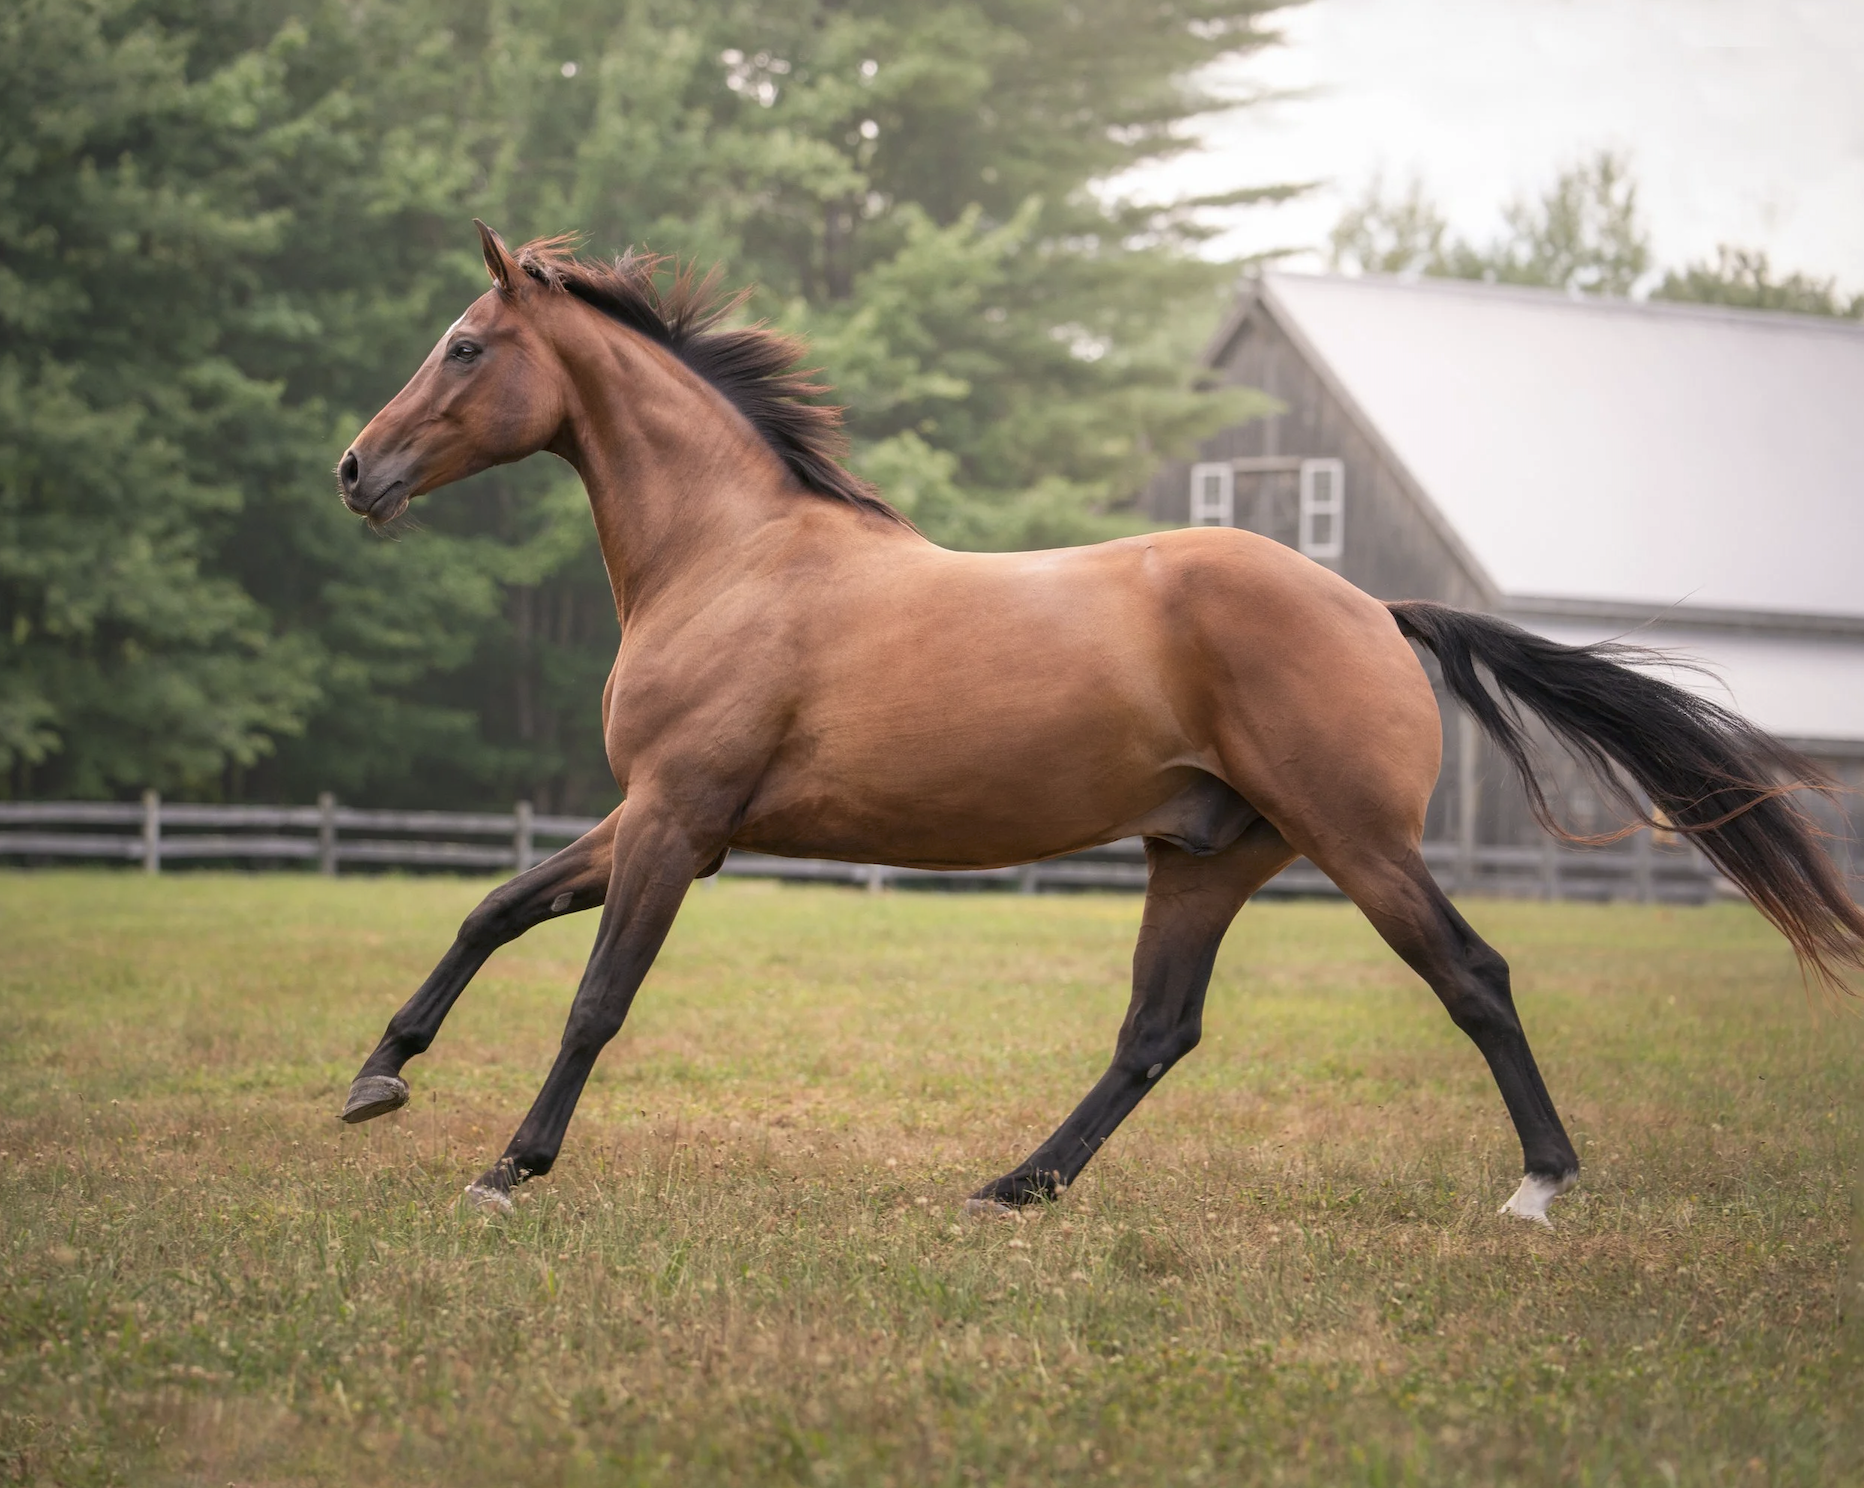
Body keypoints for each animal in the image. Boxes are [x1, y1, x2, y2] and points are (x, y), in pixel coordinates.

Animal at [334, 222, 1864, 1225]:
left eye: (464, 347)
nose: (356, 470)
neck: (734, 555)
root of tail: (1376, 608)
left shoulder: (677, 820)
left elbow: (595, 995)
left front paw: (507, 1168)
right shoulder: (657, 817)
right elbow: (493, 908)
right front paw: (374, 1078)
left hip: (1356, 845)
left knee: (1471, 978)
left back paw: (1541, 1185)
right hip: (1206, 856)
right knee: (1155, 1033)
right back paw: (1017, 1185)